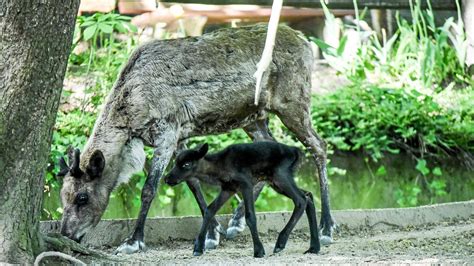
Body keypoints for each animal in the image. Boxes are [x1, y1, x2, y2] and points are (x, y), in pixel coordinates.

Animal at [164, 141, 322, 258]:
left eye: (187, 164)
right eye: (175, 162)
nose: (167, 179)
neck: (219, 169)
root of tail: (296, 152)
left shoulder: (246, 184)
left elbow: (250, 216)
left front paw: (259, 250)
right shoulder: (228, 188)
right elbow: (209, 210)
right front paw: (198, 248)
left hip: (280, 175)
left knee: (300, 200)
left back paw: (280, 243)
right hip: (275, 182)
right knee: (308, 196)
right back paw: (314, 247)